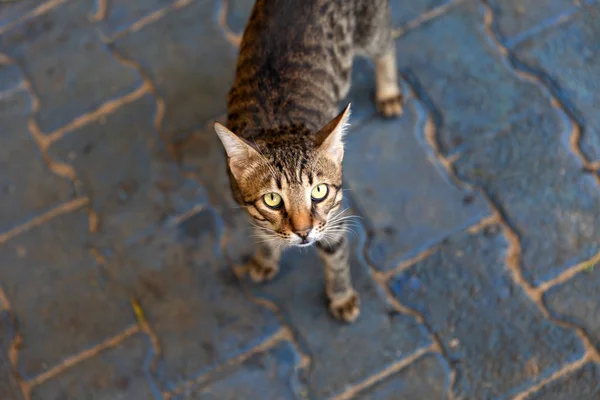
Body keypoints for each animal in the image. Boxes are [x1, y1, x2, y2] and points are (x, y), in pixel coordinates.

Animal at [213, 0, 400, 322]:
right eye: (273, 199)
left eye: (319, 191)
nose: (303, 232)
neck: (279, 128)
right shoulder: (247, 206)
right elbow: (263, 232)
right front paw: (266, 257)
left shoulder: (334, 218)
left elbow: (336, 257)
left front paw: (341, 296)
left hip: (369, 29)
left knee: (387, 44)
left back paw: (388, 91)